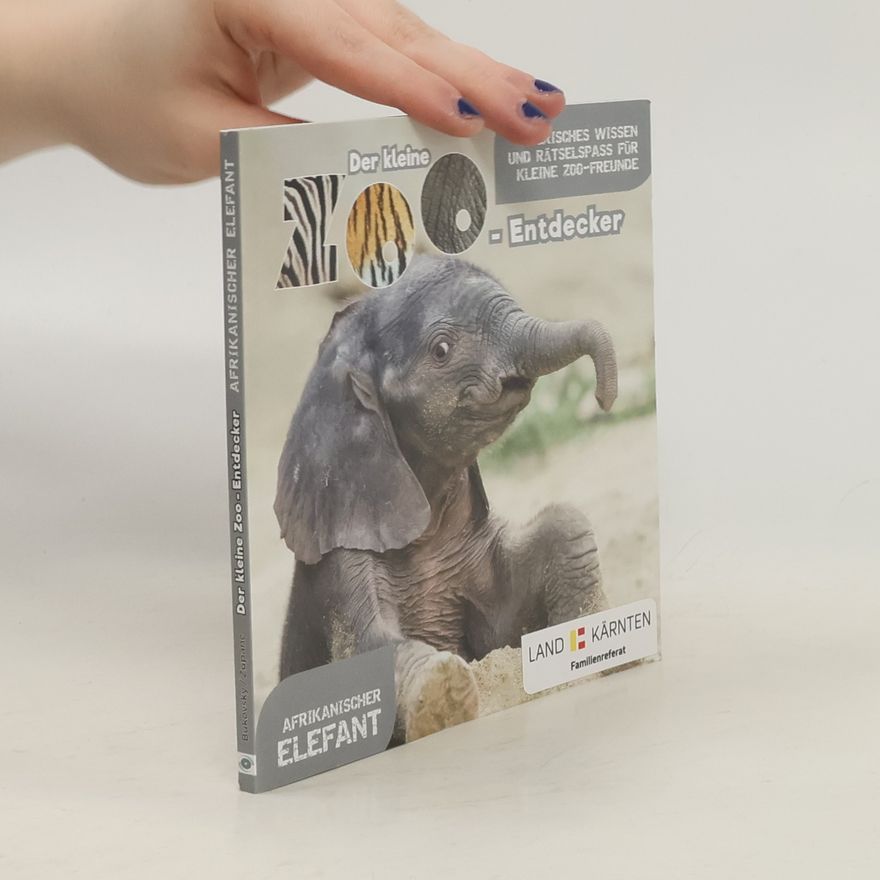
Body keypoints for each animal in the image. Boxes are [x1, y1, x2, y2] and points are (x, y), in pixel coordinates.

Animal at [275, 254, 617, 742]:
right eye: (441, 350)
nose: (603, 399)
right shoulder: (338, 562)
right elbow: (362, 648)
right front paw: (446, 696)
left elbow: (558, 534)